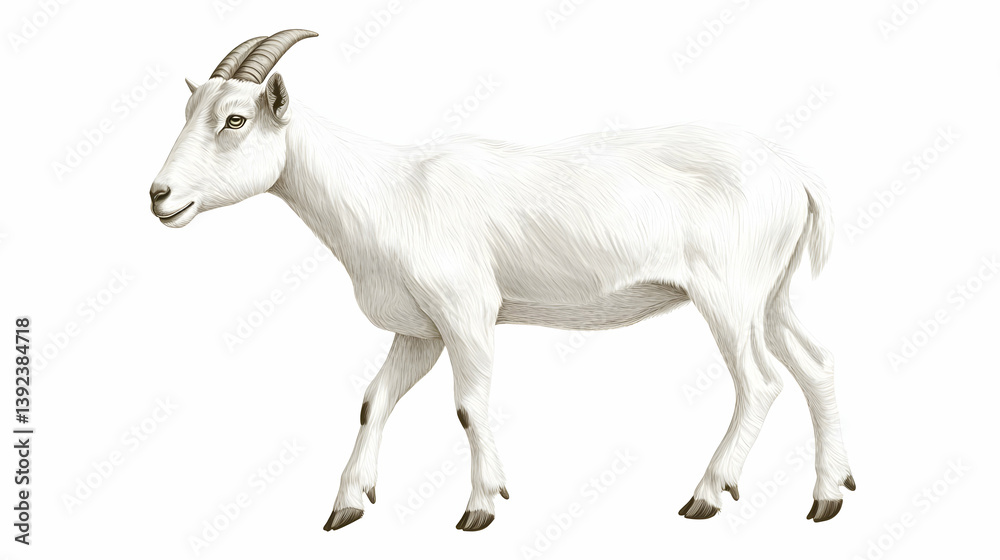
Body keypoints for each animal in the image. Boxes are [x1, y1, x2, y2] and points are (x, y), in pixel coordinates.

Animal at [150, 29, 854, 531]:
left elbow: (468, 404)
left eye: (236, 119)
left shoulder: (466, 309)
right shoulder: (421, 332)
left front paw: (481, 507)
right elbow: (375, 400)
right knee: (815, 365)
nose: (160, 196)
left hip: (729, 292)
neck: (389, 192)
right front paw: (346, 506)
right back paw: (829, 497)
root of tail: (795, 174)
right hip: (772, 293)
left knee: (761, 381)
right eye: (187, 109)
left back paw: (705, 496)